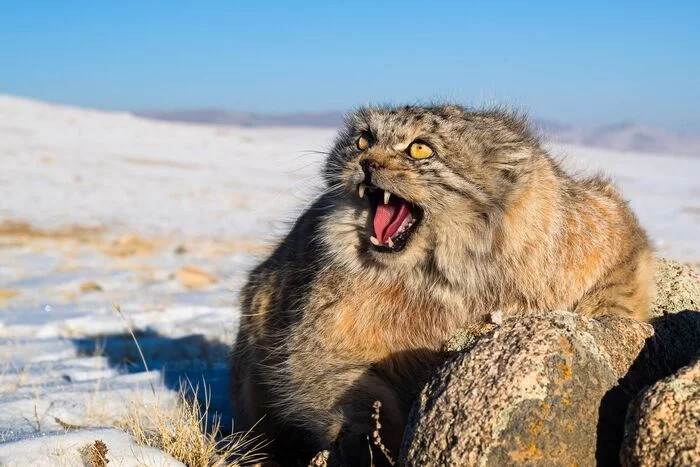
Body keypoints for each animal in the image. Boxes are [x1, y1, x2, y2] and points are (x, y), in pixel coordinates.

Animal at [228, 104, 652, 466]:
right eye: (363, 140)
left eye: (419, 149)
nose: (365, 162)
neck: (457, 277)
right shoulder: (318, 345)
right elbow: (344, 387)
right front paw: (365, 442)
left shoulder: (608, 226)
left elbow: (620, 284)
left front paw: (603, 317)